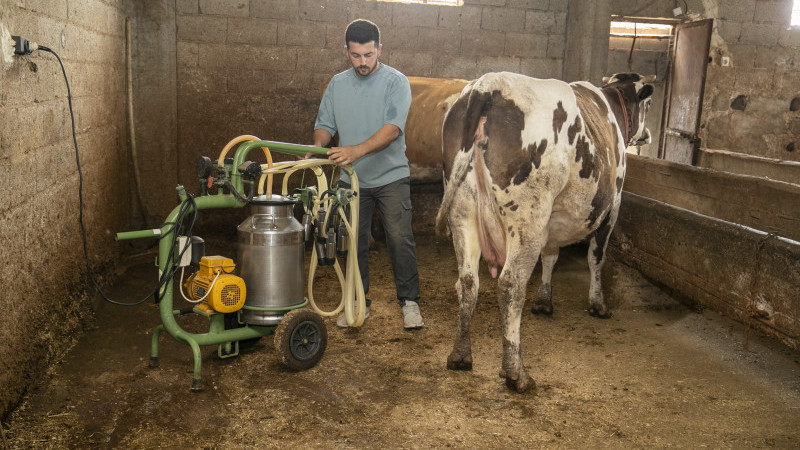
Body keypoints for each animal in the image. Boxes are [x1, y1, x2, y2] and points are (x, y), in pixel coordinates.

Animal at [434, 72, 652, 392]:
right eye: (647, 104)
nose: (647, 135)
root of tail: (488, 85)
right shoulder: (612, 207)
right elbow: (596, 258)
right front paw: (598, 304)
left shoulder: (552, 222)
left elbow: (551, 256)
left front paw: (544, 300)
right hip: (527, 216)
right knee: (510, 285)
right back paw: (516, 373)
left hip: (462, 211)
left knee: (467, 282)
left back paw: (460, 355)